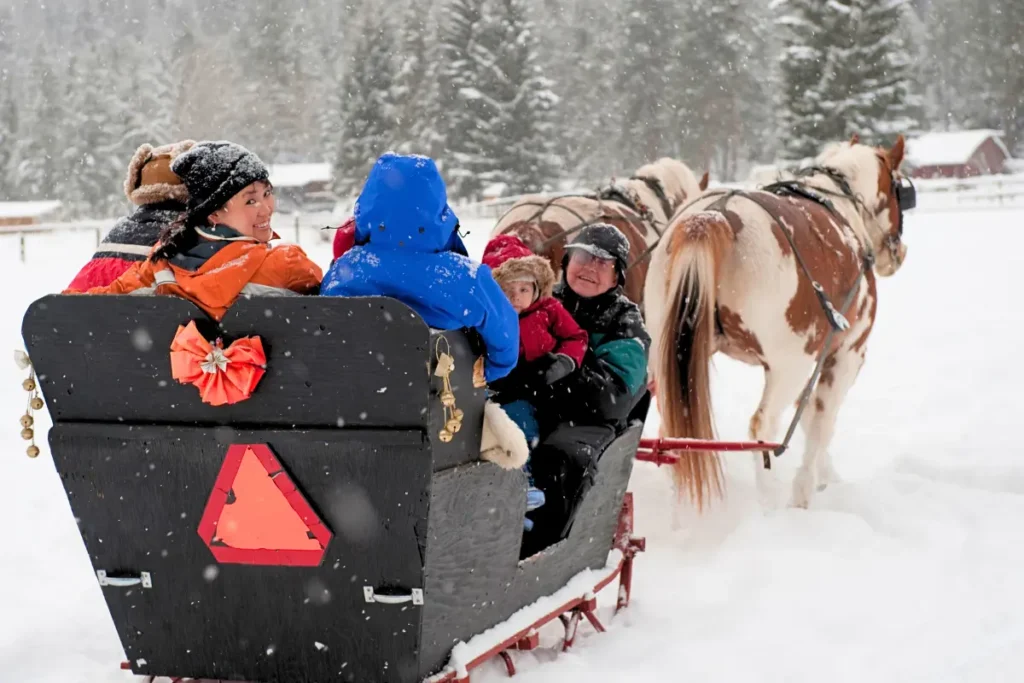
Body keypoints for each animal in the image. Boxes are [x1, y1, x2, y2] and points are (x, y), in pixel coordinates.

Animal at [644, 134, 915, 510]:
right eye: (898, 188)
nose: (898, 254)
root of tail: (715, 216)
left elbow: (809, 417)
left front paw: (825, 475)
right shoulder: (845, 355)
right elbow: (820, 422)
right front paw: (805, 490)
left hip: (668, 355)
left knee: (673, 428)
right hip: (790, 366)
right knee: (763, 428)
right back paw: (767, 501)